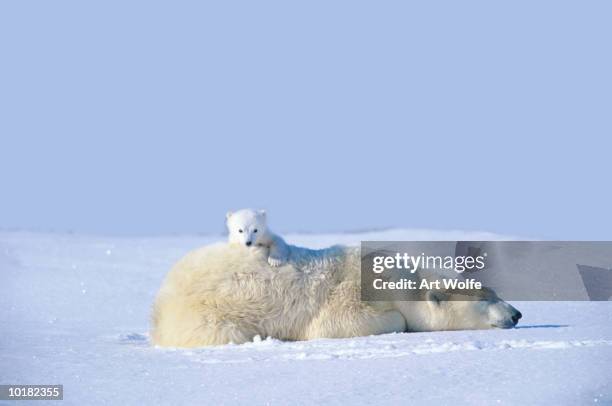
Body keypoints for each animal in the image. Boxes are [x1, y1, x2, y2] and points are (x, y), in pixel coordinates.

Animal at [149, 243, 520, 348]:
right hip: (206, 315)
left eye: (494, 291)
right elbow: (337, 323)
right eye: (485, 299)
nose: (517, 314)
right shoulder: (351, 293)